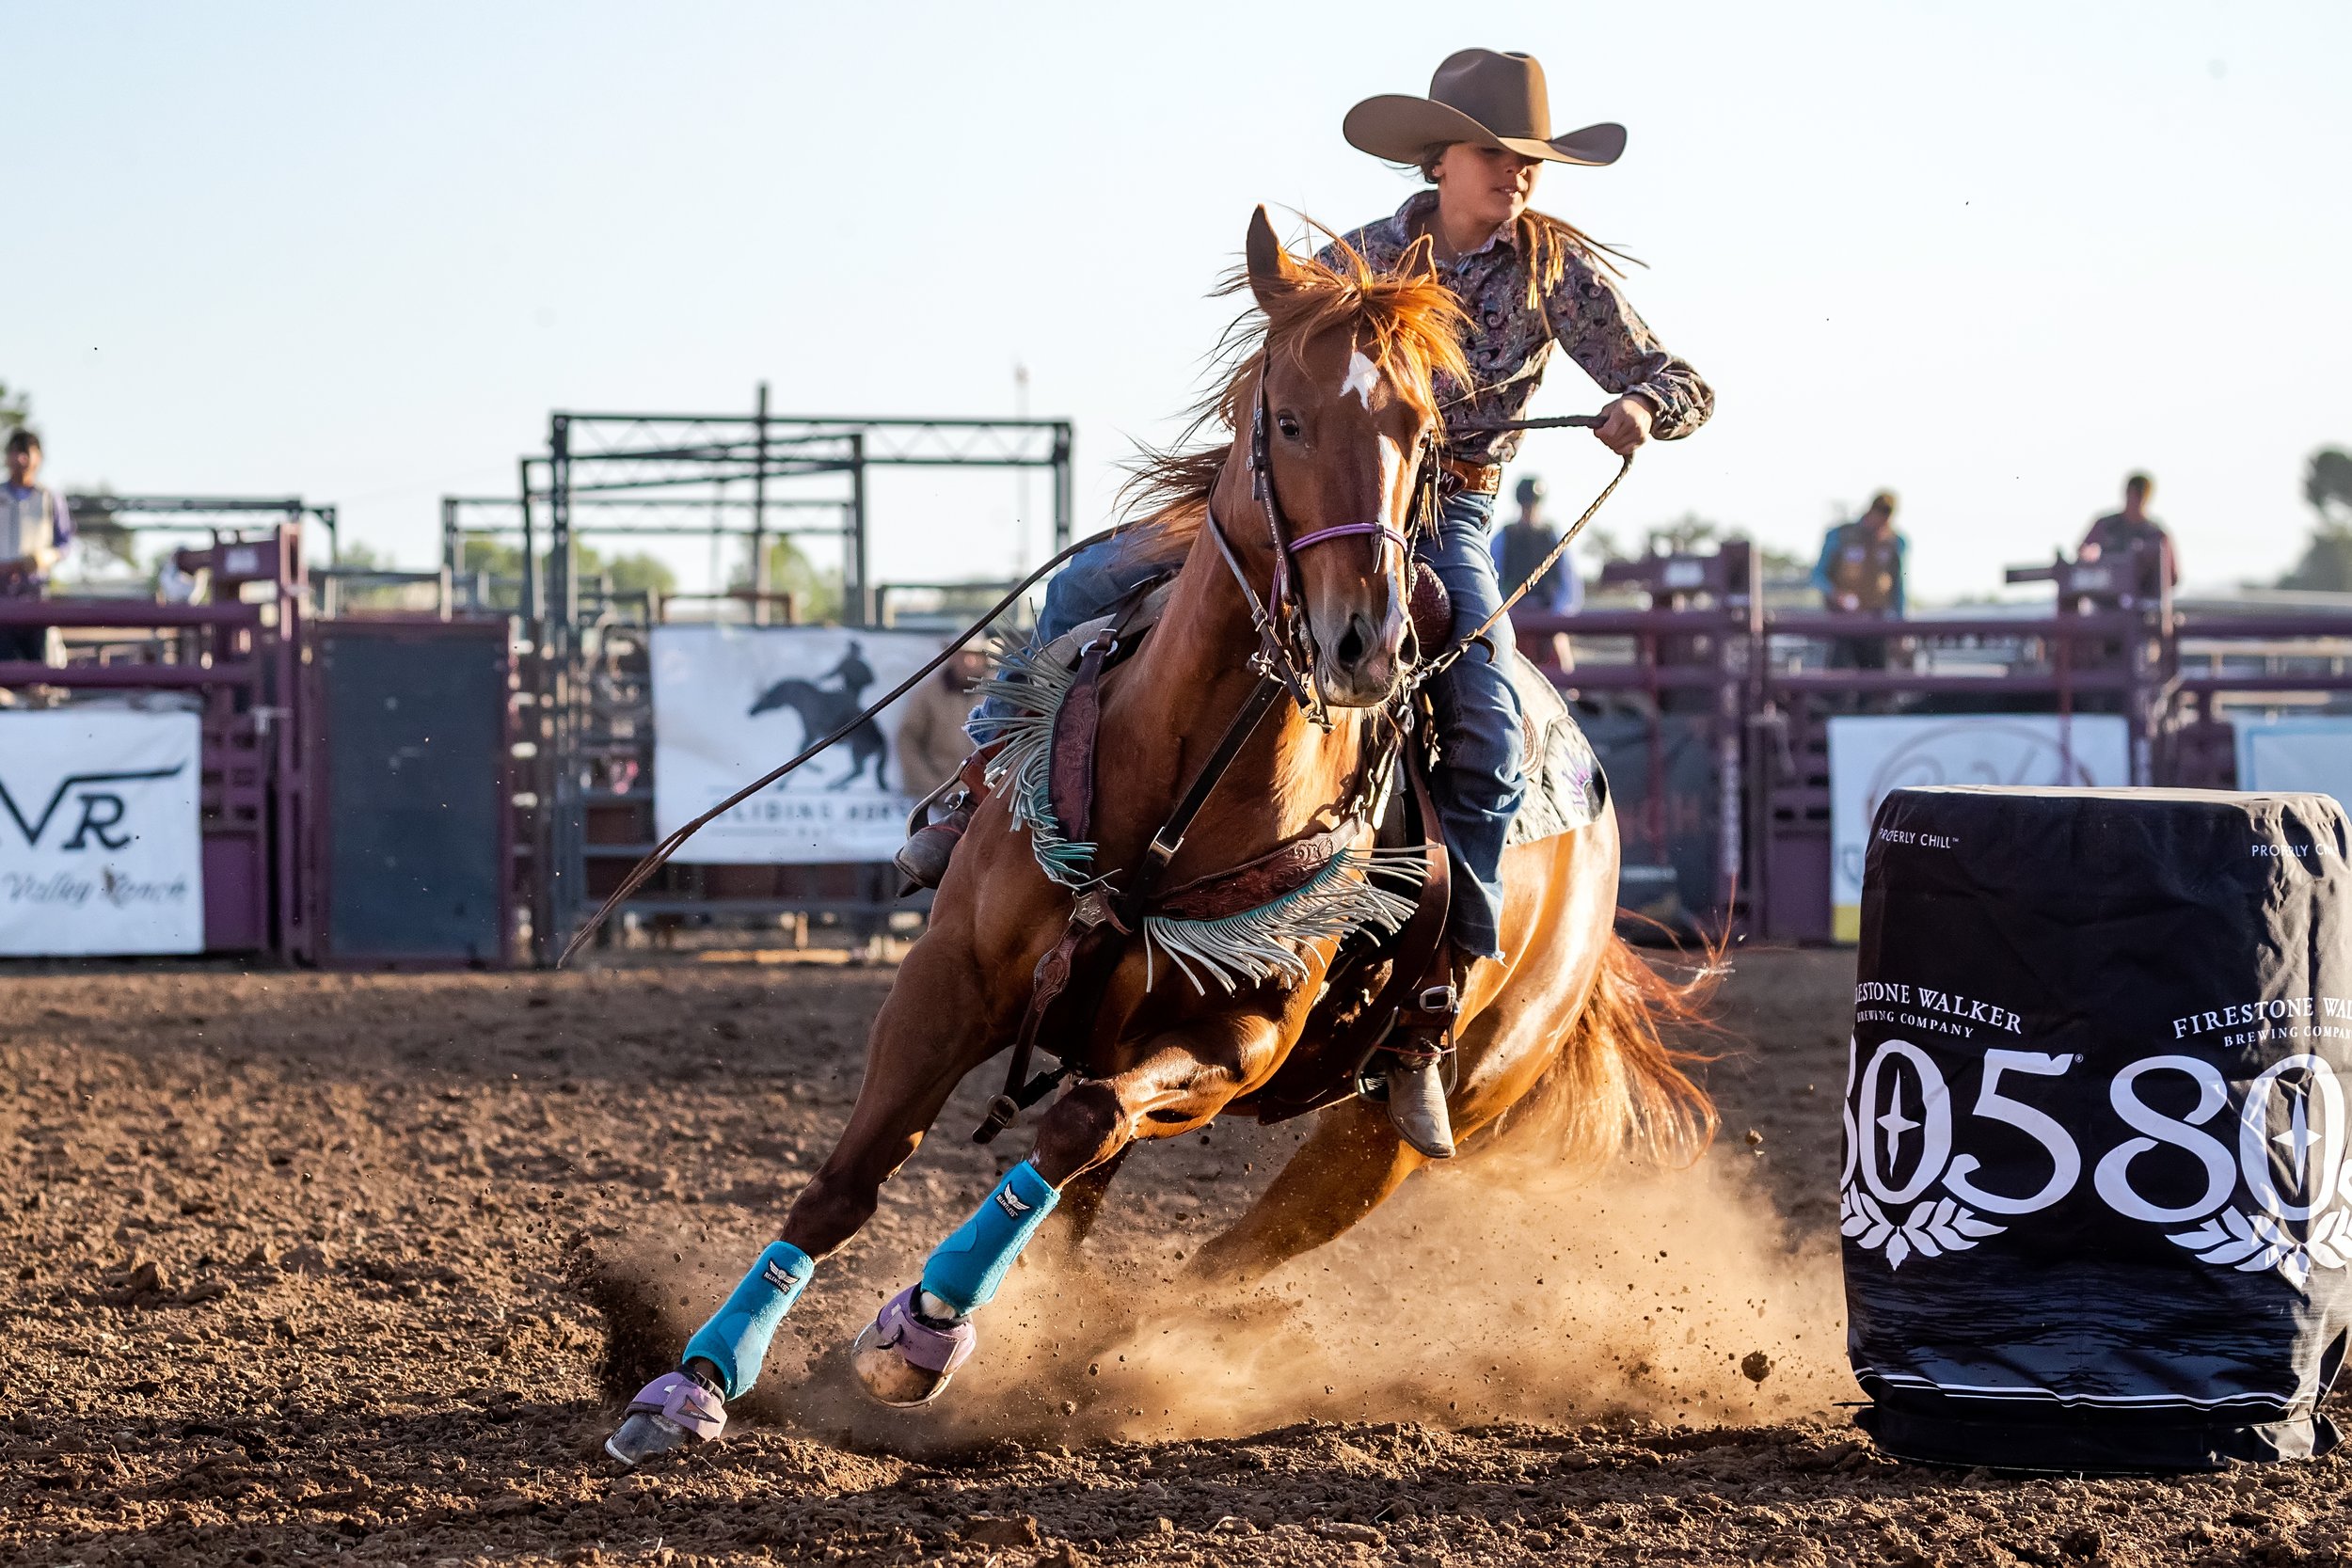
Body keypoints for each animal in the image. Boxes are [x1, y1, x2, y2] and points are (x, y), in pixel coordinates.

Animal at [748, 678, 889, 790]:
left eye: (770, 695)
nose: (751, 711)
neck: (805, 701)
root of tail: (882, 742)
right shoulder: (811, 735)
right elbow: (800, 753)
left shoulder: (812, 733)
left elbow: (800, 752)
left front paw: (816, 770)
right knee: (858, 771)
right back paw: (836, 785)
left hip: (857, 751)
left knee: (859, 771)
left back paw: (834, 785)